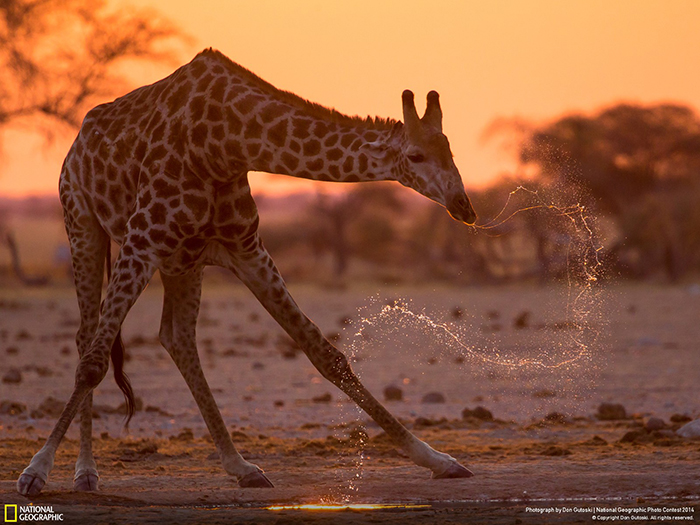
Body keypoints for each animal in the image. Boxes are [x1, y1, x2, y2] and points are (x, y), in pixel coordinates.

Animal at [17, 48, 477, 495]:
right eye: (416, 155)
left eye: (451, 150)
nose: (464, 206)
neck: (226, 144)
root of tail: (76, 142)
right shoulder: (142, 238)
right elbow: (93, 364)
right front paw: (35, 471)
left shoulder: (245, 246)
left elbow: (326, 354)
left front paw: (438, 459)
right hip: (83, 225)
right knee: (88, 338)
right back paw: (86, 472)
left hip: (182, 260)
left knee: (176, 337)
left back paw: (241, 466)